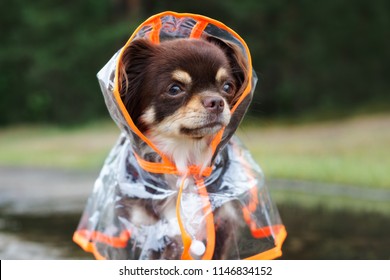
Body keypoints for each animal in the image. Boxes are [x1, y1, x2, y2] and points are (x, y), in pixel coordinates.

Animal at [117, 36, 248, 260]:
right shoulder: (146, 232)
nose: (217, 101)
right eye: (174, 89)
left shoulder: (221, 224)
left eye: (227, 87)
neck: (184, 157)